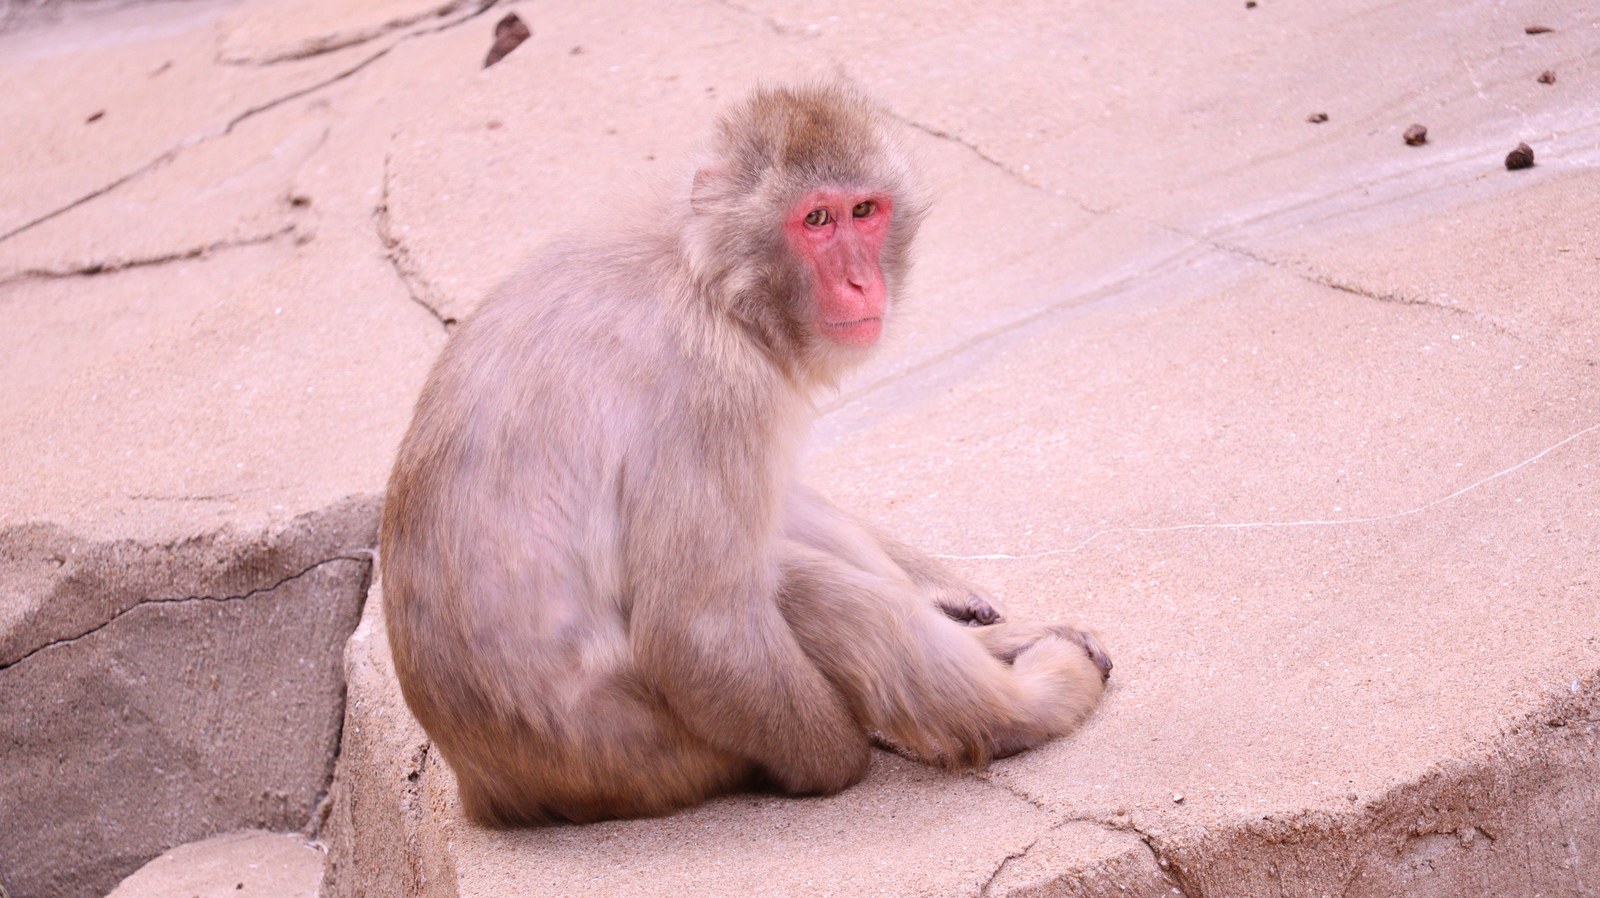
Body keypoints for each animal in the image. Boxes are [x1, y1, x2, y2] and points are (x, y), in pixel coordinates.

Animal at [380, 82, 1111, 827]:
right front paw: (842, 756)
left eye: (864, 211)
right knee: (786, 587)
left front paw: (946, 594)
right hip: (645, 754)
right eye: (815, 219)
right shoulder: (716, 386)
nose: (861, 284)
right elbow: (696, 630)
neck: (711, 278)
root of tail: (488, 788)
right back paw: (1031, 704)